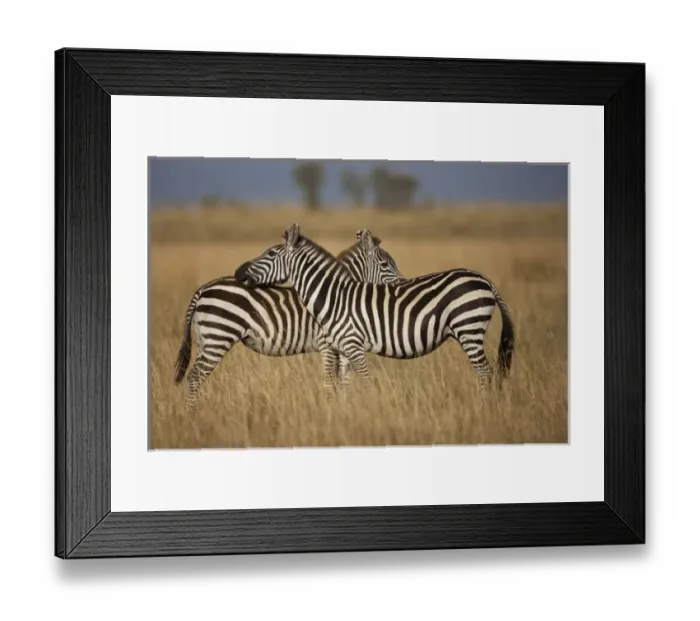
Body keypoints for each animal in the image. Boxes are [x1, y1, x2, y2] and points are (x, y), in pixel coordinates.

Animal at [174, 229, 404, 412]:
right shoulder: (328, 345)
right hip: (219, 337)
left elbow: (342, 382)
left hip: (206, 339)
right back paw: (191, 417)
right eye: (385, 264)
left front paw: (343, 409)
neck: (337, 295)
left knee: (194, 377)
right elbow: (332, 381)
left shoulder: (342, 346)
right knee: (194, 377)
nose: (403, 284)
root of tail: (203, 288)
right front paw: (333, 412)